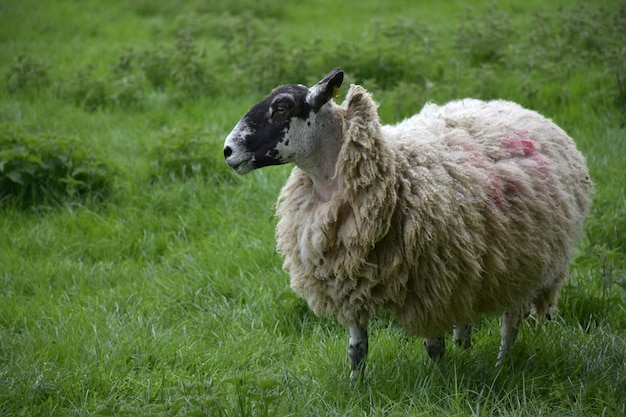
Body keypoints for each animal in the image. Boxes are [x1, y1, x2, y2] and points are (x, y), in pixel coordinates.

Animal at [223, 66, 588, 376]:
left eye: (282, 107)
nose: (227, 150)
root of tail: (524, 110)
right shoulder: (348, 276)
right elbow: (357, 350)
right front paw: (356, 388)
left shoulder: (430, 284)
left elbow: (434, 347)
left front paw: (439, 383)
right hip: (475, 264)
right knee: (468, 317)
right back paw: (468, 349)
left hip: (527, 260)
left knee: (510, 322)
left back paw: (501, 364)